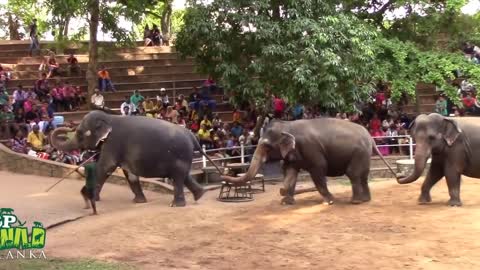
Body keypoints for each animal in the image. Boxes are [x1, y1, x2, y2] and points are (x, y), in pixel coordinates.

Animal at [49, 109, 222, 211]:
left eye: (80, 134)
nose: (67, 126)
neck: (109, 117)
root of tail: (193, 137)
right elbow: (129, 174)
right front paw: (139, 202)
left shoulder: (113, 142)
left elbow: (106, 167)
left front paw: (92, 198)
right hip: (183, 157)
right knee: (184, 175)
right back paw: (199, 195)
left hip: (180, 155)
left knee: (178, 178)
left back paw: (175, 205)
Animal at [221, 118, 398, 205]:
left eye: (266, 146)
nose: (223, 175)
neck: (288, 125)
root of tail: (370, 137)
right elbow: (290, 171)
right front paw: (286, 201)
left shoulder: (310, 148)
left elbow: (319, 170)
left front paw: (330, 201)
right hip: (364, 154)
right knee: (363, 175)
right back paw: (365, 200)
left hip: (359, 153)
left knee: (353, 174)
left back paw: (355, 202)